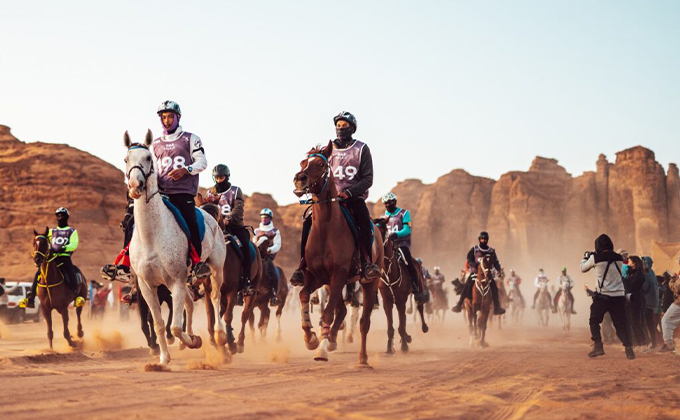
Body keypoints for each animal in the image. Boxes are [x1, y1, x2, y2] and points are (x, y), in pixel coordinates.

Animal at [123, 131, 227, 364]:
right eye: (126, 159)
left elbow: (176, 327)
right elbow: (160, 324)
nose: (135, 185)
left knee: (215, 298)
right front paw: (163, 358)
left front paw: (193, 341)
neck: (151, 237)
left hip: (215, 269)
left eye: (148, 158)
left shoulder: (176, 281)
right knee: (189, 303)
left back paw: (219, 334)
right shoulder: (147, 287)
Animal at [294, 141, 386, 364]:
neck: (326, 230)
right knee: (342, 310)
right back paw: (333, 340)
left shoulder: (338, 275)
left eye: (320, 164)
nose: (299, 179)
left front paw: (321, 349)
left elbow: (328, 314)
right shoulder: (316, 277)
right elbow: (303, 295)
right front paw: (311, 338)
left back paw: (362, 359)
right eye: (302, 162)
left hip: (368, 283)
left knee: (363, 321)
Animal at [374, 220, 428, 354]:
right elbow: (391, 327)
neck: (390, 273)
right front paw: (389, 348)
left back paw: (424, 327)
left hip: (419, 287)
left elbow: (401, 325)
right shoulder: (387, 301)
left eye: (383, 231)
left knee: (420, 305)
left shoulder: (400, 301)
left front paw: (405, 344)